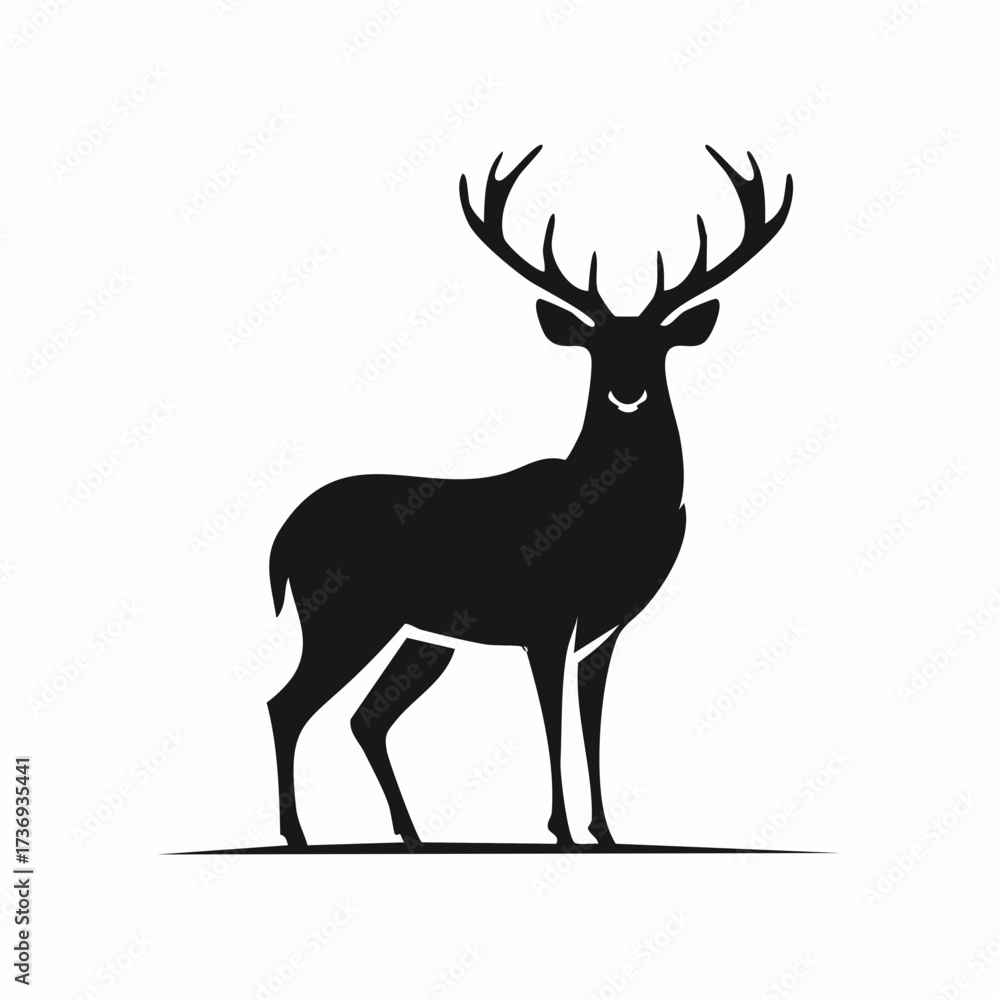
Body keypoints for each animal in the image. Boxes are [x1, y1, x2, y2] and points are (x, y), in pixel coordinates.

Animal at [265, 144, 792, 848]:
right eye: (596, 347)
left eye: (657, 347)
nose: (628, 392)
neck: (616, 518)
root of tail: (282, 539)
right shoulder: (546, 616)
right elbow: (553, 720)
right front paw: (561, 828)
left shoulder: (605, 629)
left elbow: (591, 720)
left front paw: (605, 830)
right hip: (342, 612)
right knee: (287, 703)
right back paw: (298, 835)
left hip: (420, 636)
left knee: (366, 717)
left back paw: (412, 832)